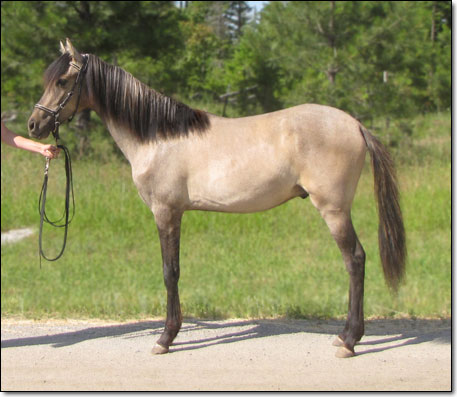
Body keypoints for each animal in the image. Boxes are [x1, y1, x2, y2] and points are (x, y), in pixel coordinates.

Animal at [27, 38, 406, 358]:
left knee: (355, 260)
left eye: (62, 81)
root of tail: (355, 125)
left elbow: (170, 272)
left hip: (334, 210)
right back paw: (346, 337)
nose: (34, 125)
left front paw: (165, 338)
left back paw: (349, 340)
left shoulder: (166, 212)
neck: (158, 137)